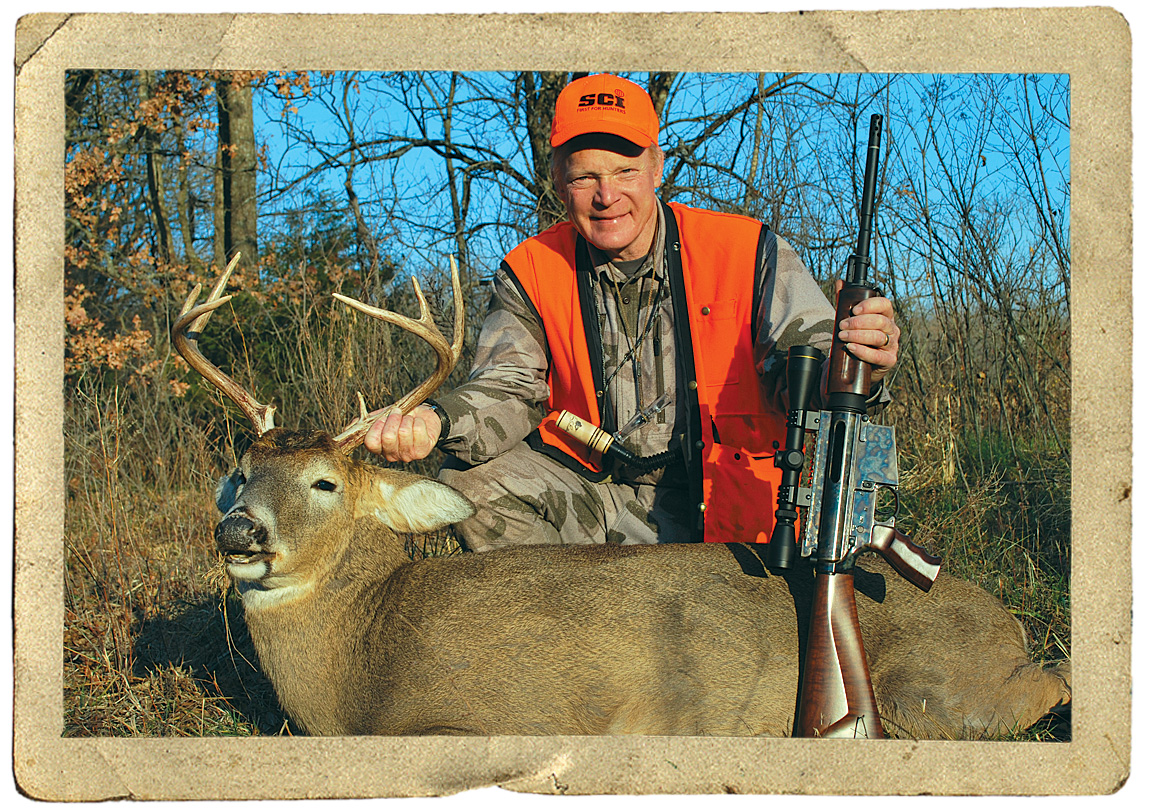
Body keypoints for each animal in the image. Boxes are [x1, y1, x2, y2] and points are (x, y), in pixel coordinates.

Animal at [172, 255, 1071, 739]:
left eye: (324, 482)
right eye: (239, 471)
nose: (238, 530)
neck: (358, 660)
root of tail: (1009, 625)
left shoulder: (499, 717)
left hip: (936, 692)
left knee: (1041, 686)